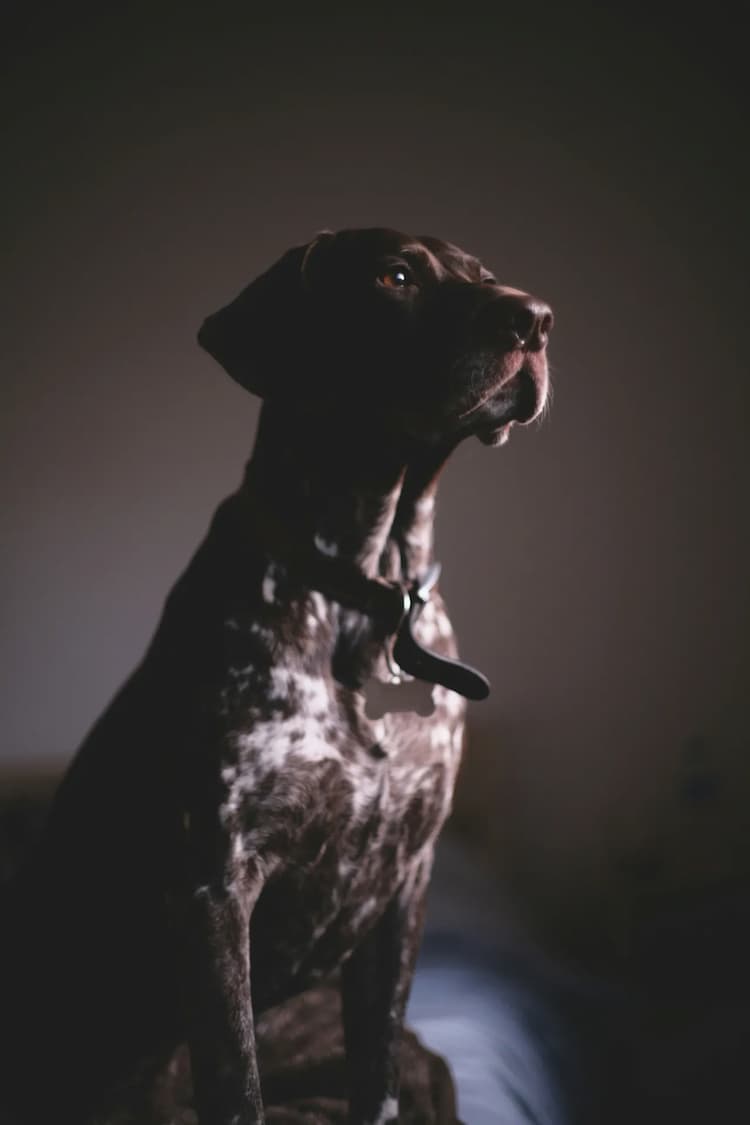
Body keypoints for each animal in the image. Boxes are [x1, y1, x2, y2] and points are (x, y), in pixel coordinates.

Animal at [0, 228, 550, 1125]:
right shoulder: (216, 885)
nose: (534, 318)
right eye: (396, 275)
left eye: (483, 273)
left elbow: (377, 1075)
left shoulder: (406, 881)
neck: (366, 592)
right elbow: (238, 1086)